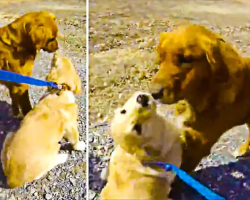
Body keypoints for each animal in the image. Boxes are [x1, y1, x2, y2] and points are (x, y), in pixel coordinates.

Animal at [0, 52, 85, 188]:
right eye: (56, 61)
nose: (56, 52)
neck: (59, 91)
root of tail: (11, 180)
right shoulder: (71, 125)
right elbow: (75, 139)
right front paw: (80, 146)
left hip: (9, 137)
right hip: (48, 156)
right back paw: (62, 156)